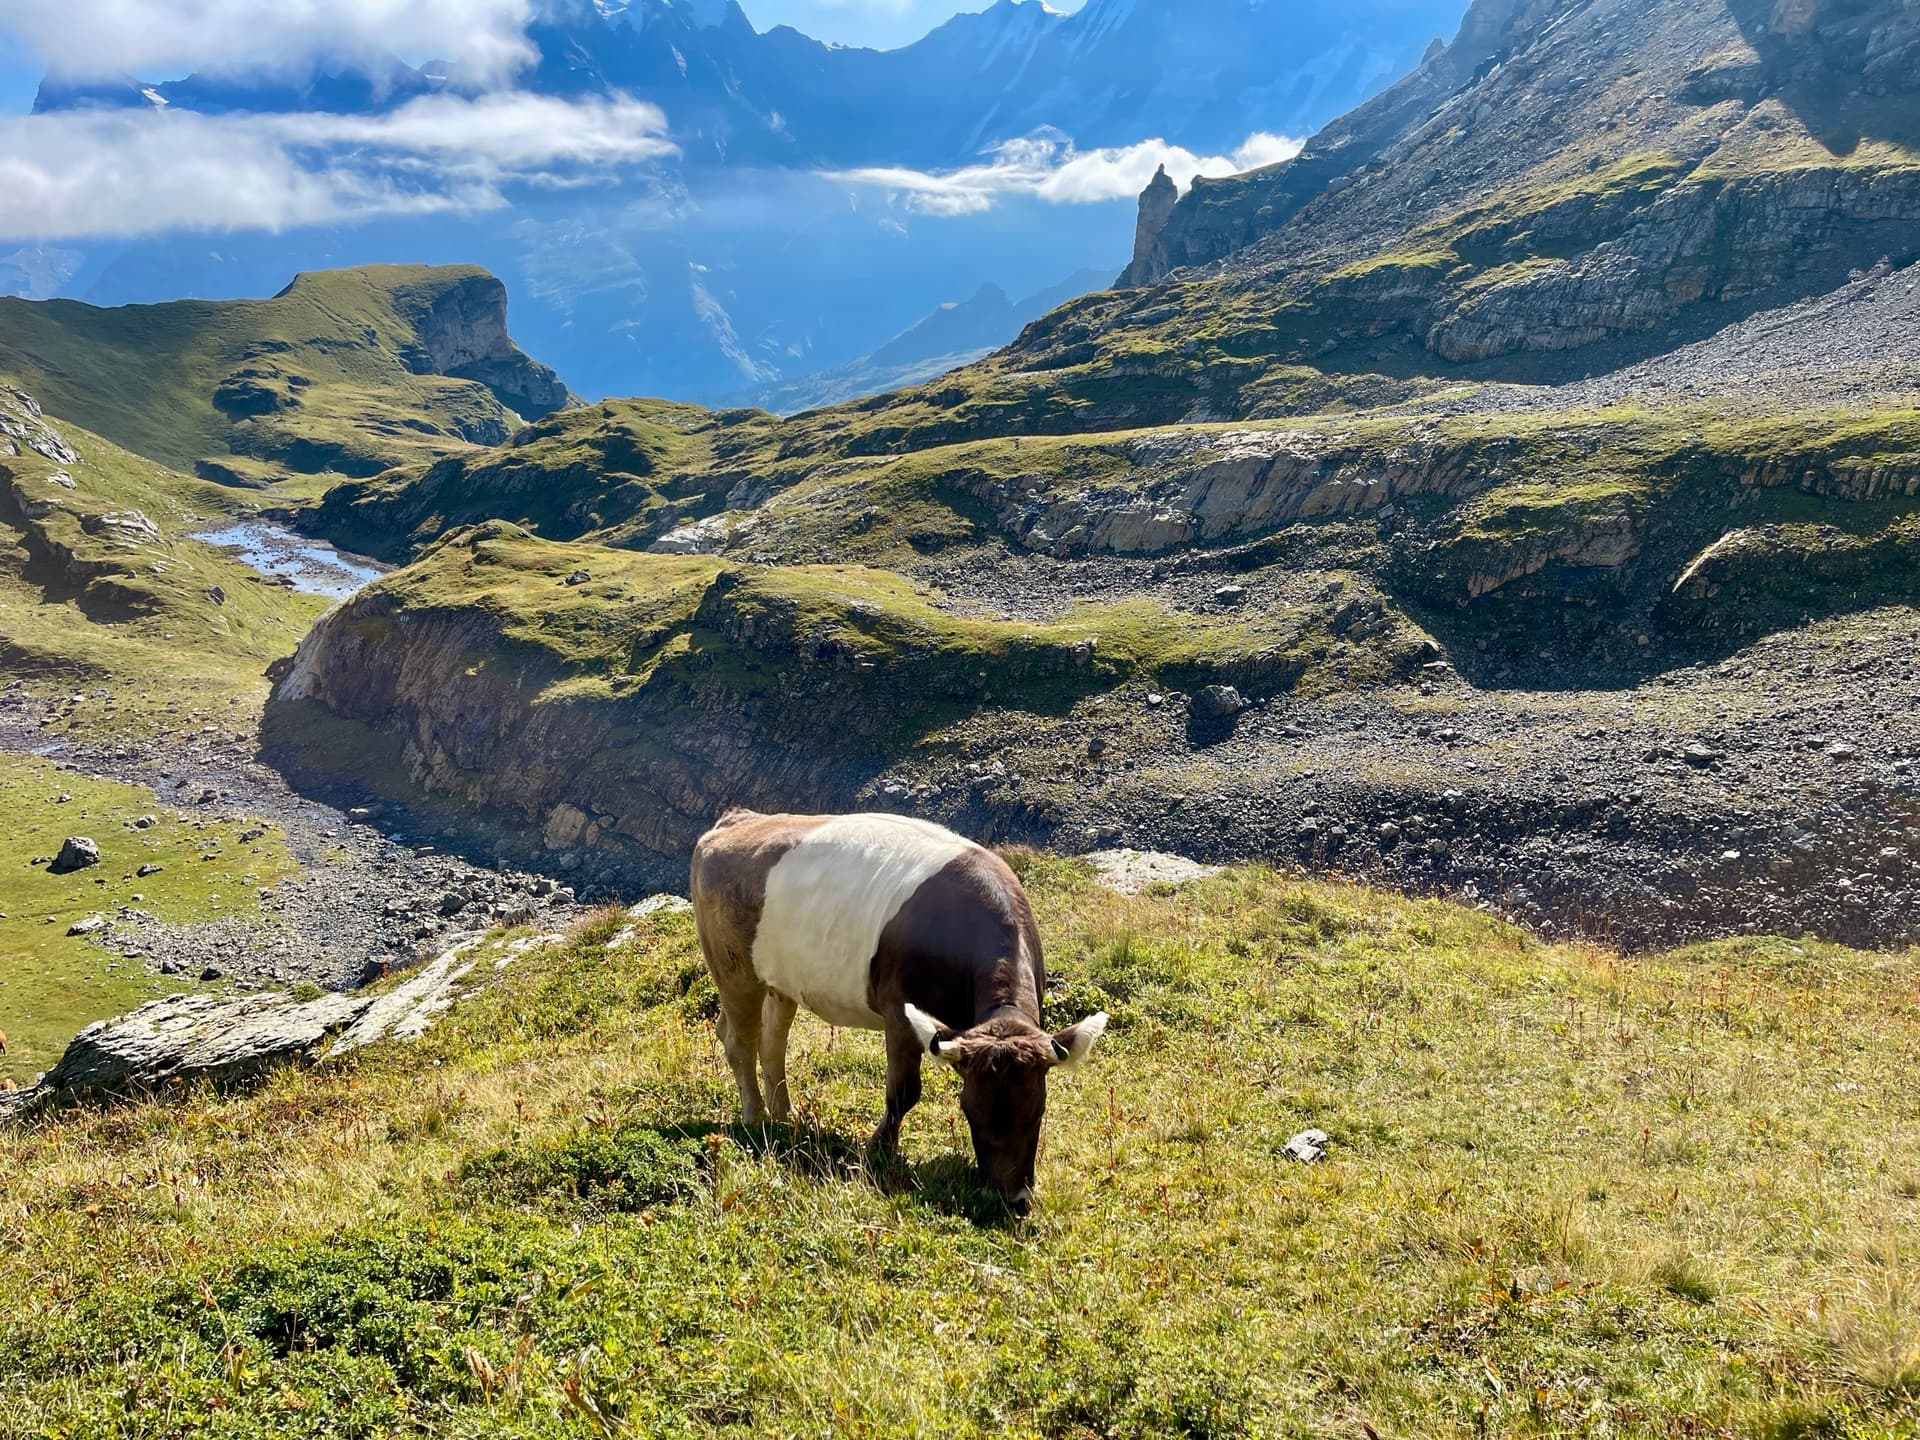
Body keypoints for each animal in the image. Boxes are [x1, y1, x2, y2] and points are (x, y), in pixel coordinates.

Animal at [689, 809, 1107, 1213]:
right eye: (970, 1110)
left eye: (1038, 1110)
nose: (1009, 1199)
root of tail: (739, 818)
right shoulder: (899, 1011)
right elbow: (903, 1091)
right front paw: (879, 1150)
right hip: (734, 970)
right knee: (740, 1042)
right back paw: (756, 1117)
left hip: (780, 980)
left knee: (771, 1043)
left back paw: (783, 1116)